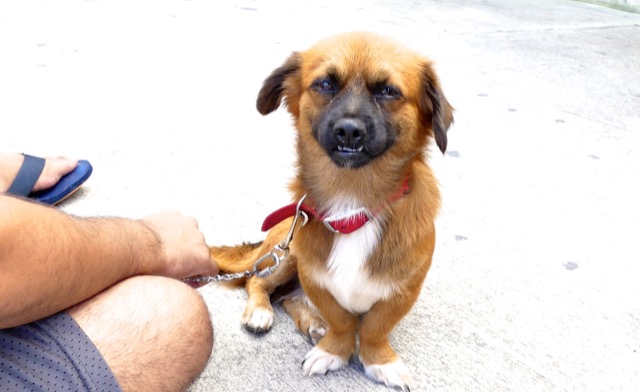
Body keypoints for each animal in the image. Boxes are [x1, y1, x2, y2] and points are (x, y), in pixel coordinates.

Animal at [210, 30, 450, 388]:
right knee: (259, 283)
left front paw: (380, 361)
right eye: (325, 84)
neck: (352, 202)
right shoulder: (314, 274)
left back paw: (312, 323)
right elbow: (341, 321)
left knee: (289, 297)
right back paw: (260, 312)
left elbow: (375, 327)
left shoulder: (403, 289)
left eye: (388, 91)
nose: (349, 130)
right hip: (286, 254)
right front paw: (334, 350)